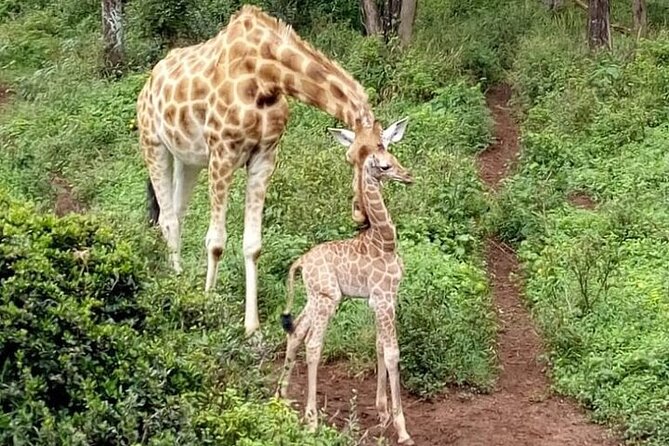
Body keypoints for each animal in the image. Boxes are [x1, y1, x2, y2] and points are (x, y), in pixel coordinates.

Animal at [136, 5, 409, 337]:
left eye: (383, 164)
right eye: (349, 158)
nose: (359, 213)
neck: (267, 75)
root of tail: (150, 80)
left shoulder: (264, 156)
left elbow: (253, 245)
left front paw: (252, 327)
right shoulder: (222, 152)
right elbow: (216, 242)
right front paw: (207, 302)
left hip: (187, 159)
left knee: (173, 212)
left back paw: (179, 276)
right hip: (153, 142)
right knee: (168, 218)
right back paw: (177, 284)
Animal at [275, 149, 414, 445]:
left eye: (396, 158)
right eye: (385, 166)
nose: (408, 176)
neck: (385, 241)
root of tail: (301, 262)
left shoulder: (383, 298)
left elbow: (379, 345)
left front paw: (382, 415)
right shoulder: (383, 296)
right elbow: (392, 352)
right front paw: (401, 429)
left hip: (316, 296)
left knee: (296, 332)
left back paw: (282, 397)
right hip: (327, 299)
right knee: (313, 344)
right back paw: (312, 421)